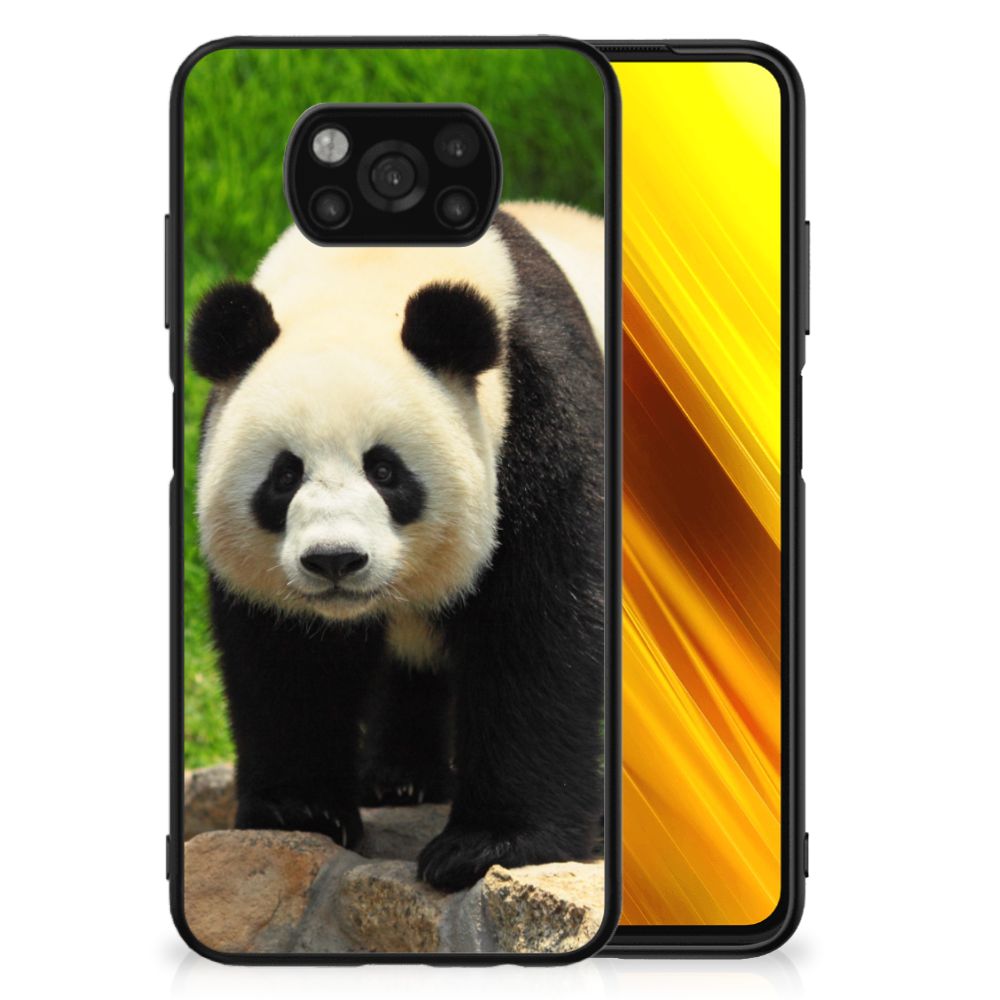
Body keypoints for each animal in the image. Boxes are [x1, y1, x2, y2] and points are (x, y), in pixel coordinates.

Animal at [189, 202, 606, 891]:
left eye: (385, 471)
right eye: (284, 475)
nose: (334, 560)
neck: (370, 269)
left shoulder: (540, 413)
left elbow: (540, 628)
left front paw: (487, 844)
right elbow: (286, 654)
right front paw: (300, 811)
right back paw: (400, 779)